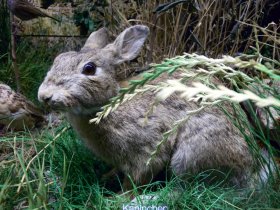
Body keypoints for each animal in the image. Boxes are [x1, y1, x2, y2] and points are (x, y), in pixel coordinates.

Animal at [38, 25, 258, 189]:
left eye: (89, 69)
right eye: (58, 59)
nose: (44, 96)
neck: (109, 106)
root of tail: (249, 165)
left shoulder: (147, 151)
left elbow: (137, 179)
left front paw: (120, 197)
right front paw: (107, 176)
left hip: (192, 152)